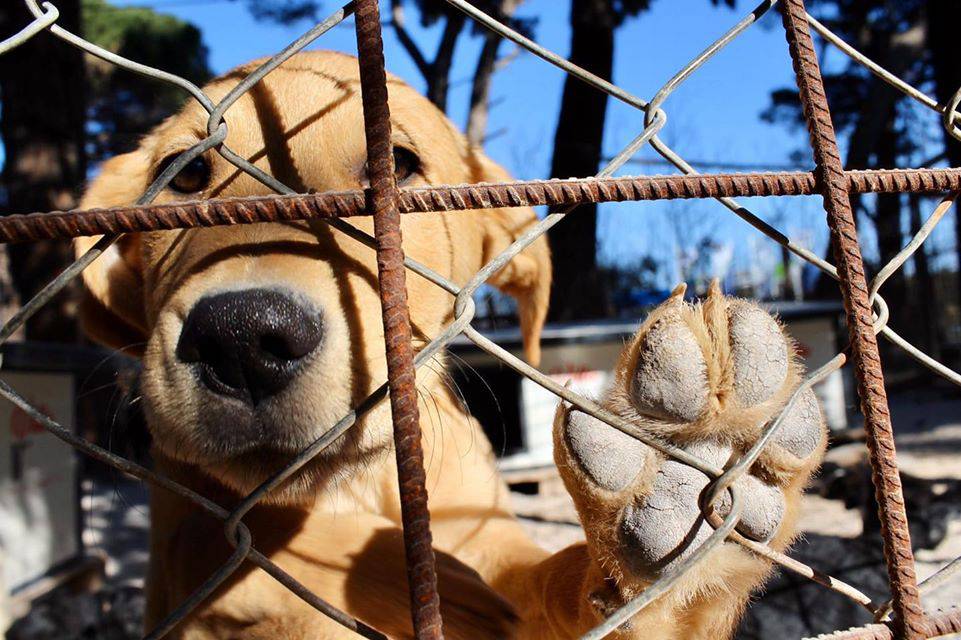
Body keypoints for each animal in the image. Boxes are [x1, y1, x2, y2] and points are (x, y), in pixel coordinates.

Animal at [77, 52, 824, 636]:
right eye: (183, 174)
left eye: (397, 164)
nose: (240, 337)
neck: (365, 487)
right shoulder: (185, 549)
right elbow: (253, 546)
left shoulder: (500, 547)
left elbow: (555, 587)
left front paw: (683, 525)